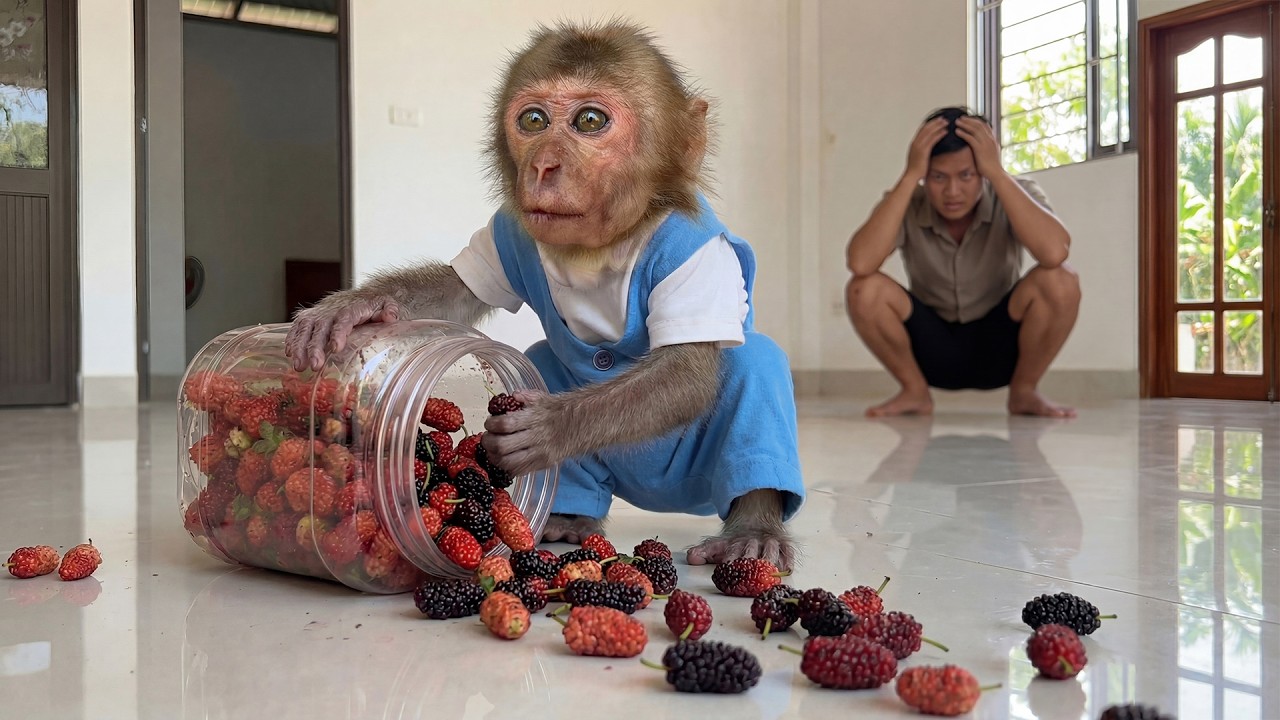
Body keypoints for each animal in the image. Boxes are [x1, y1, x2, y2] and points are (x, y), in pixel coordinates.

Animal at [284, 20, 805, 569]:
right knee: (544, 357)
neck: (602, 247)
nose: (543, 167)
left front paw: (547, 429)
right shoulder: (508, 230)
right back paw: (568, 519)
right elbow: (457, 291)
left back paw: (751, 528)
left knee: (754, 363)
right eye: (533, 120)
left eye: (590, 121)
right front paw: (349, 308)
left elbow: (685, 370)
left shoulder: (695, 252)